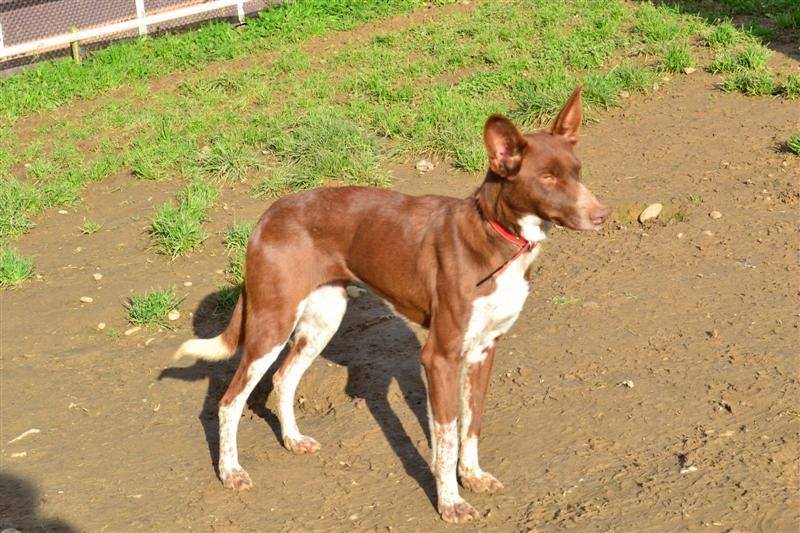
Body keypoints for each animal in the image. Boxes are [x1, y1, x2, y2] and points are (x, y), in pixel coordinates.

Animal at [175, 85, 608, 520]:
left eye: (578, 171)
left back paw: (293, 439)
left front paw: (473, 477)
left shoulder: (484, 351)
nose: (601, 215)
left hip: (323, 319)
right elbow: (447, 436)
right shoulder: (439, 356)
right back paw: (230, 471)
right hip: (272, 323)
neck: (497, 236)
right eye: (548, 178)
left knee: (283, 379)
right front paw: (450, 502)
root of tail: (267, 217)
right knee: (229, 401)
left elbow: (471, 425)